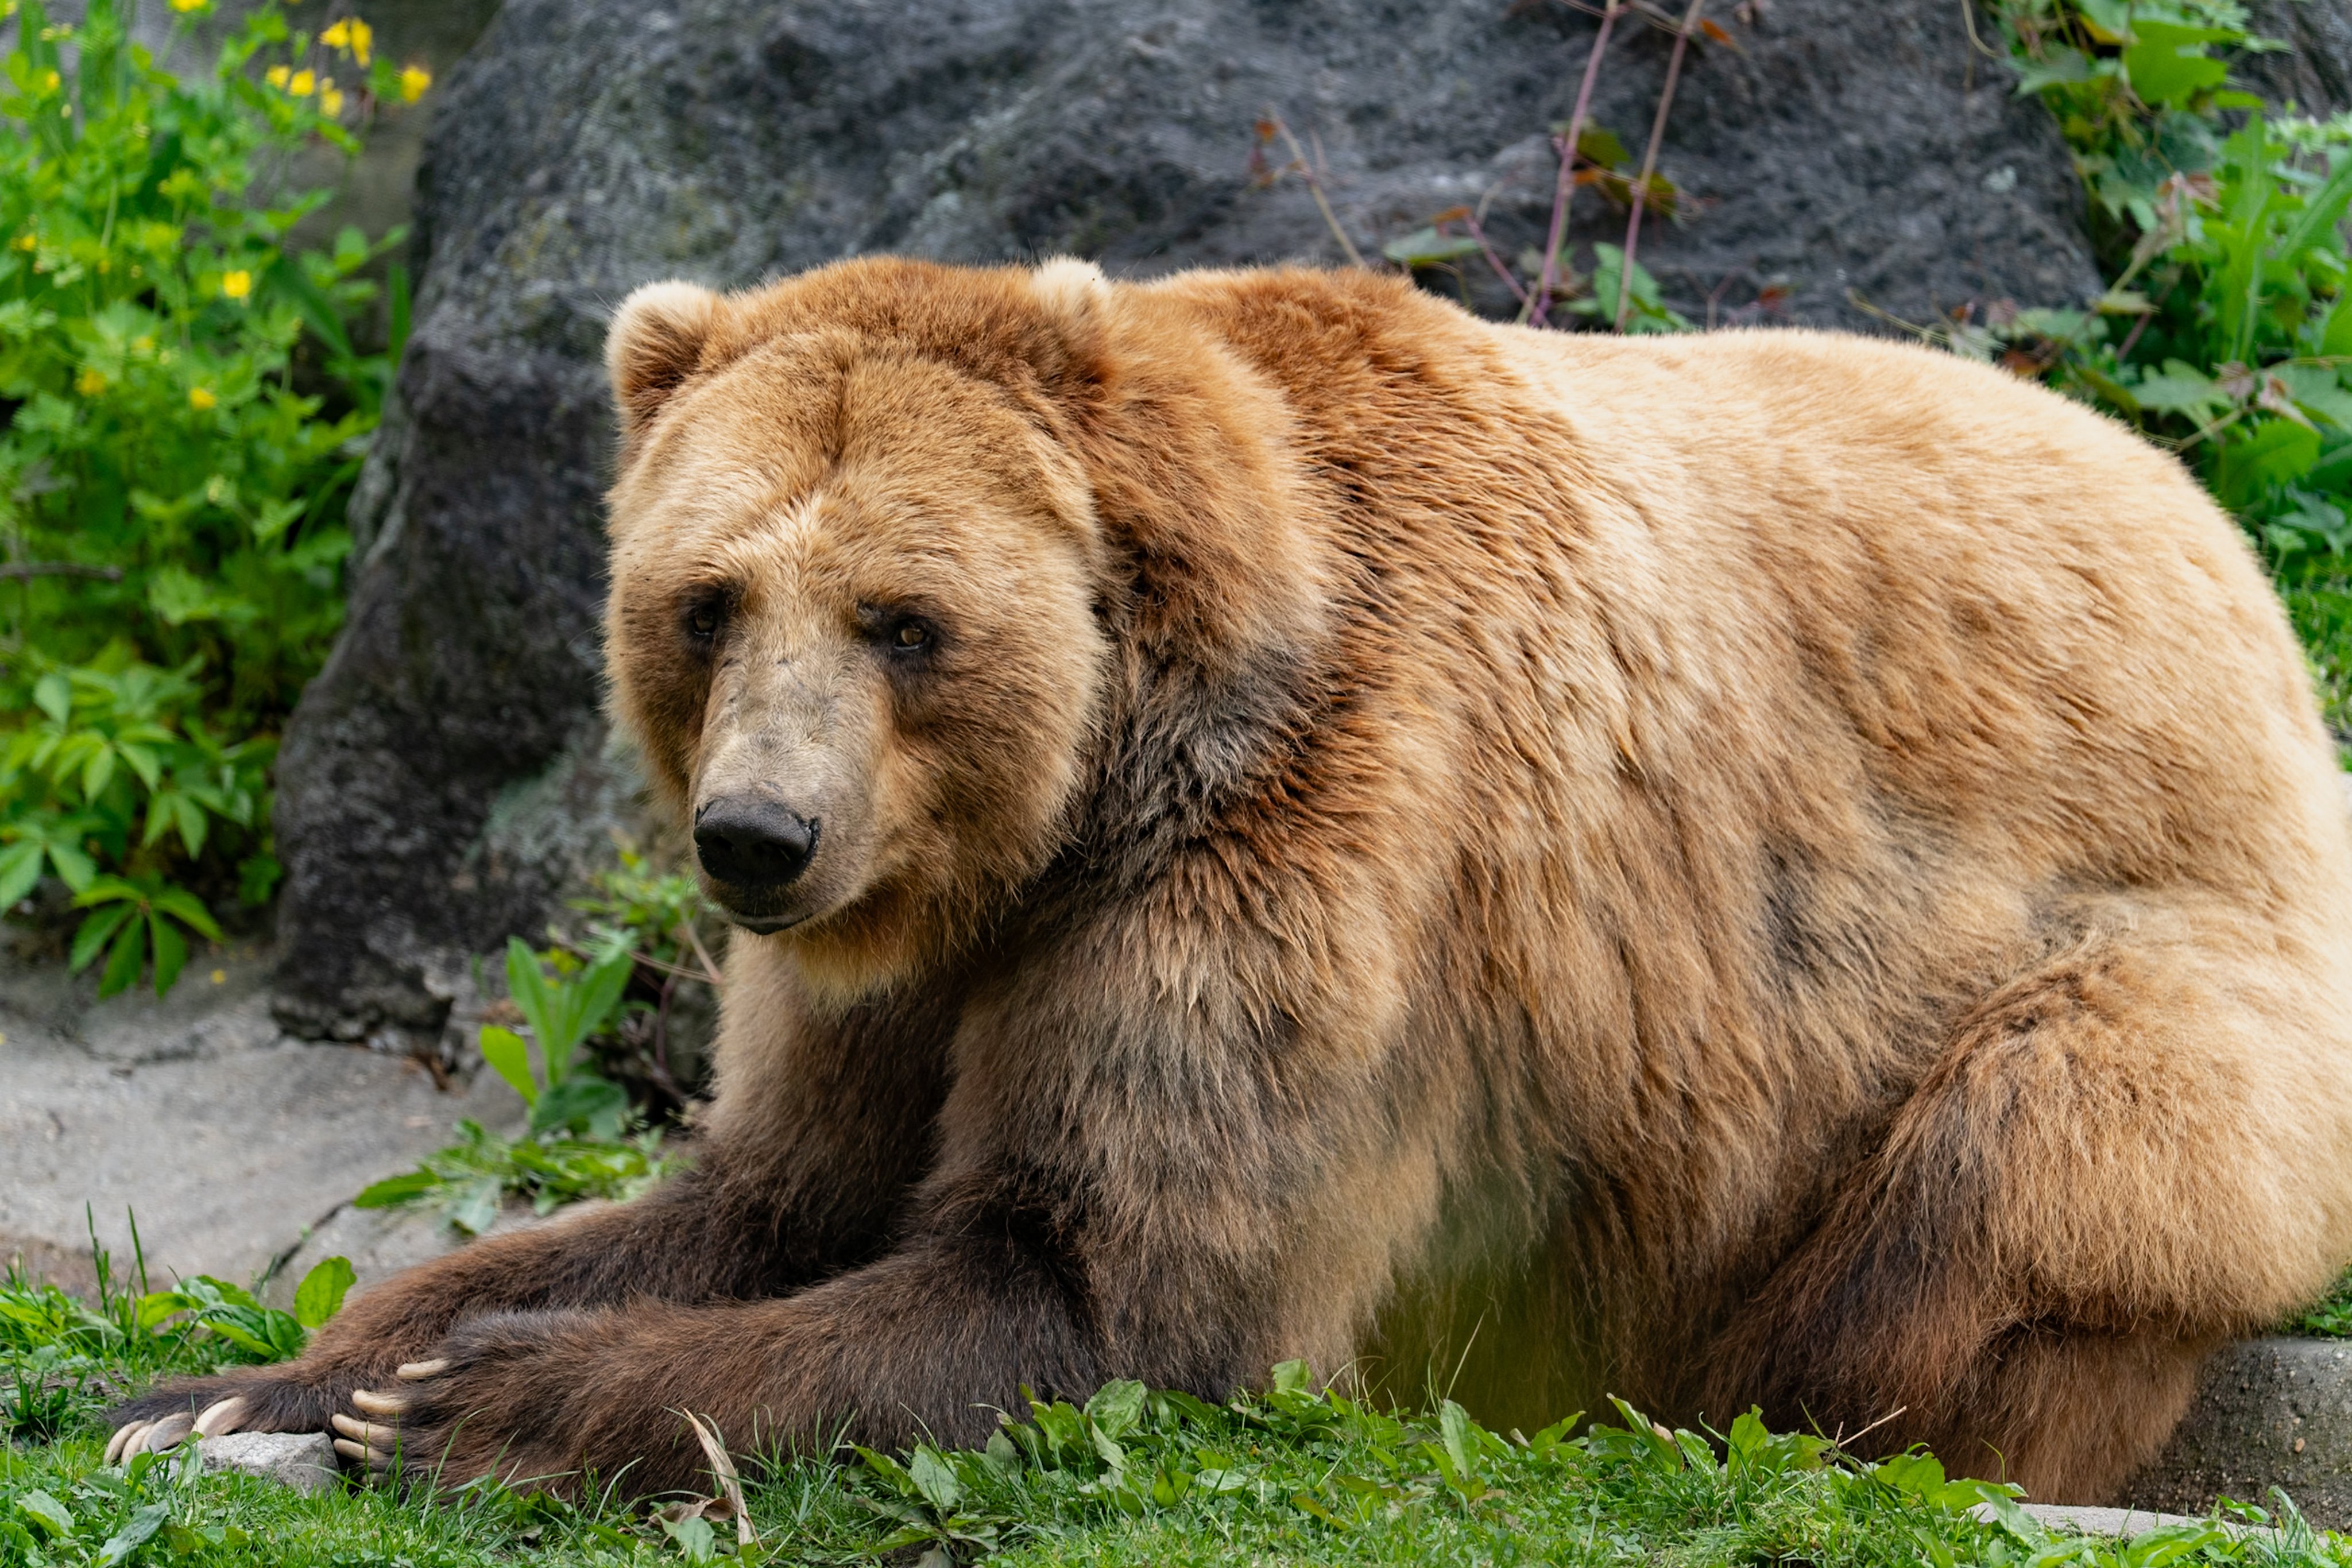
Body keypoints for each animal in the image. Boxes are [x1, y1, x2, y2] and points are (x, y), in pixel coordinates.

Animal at [111, 257, 2352, 1506]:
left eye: (904, 618)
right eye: (705, 597)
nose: (758, 837)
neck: (1058, 815)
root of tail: (2231, 557)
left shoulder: (1306, 855)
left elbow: (1109, 1286)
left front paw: (474, 1404)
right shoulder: (895, 966)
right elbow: (759, 1193)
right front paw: (237, 1387)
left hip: (2119, 958)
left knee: (1989, 1192)